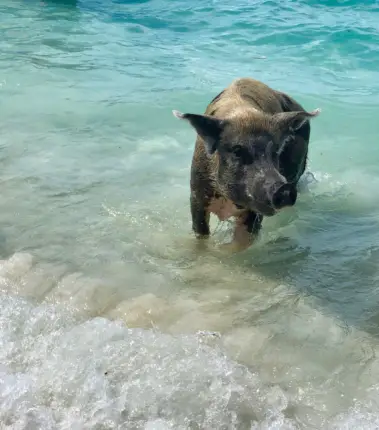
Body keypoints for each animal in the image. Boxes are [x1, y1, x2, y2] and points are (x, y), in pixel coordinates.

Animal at [174, 77, 322, 252]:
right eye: (237, 150)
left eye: (275, 151)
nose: (283, 188)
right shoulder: (197, 195)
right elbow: (201, 234)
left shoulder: (254, 210)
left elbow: (242, 242)